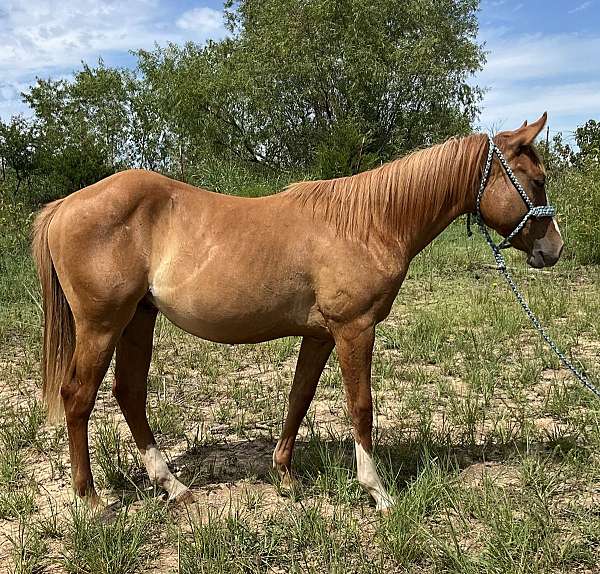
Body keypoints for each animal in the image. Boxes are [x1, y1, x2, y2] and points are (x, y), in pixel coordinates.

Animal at [32, 113, 564, 512]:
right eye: (537, 181)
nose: (554, 250)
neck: (369, 222)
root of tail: (64, 206)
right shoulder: (354, 330)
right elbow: (361, 407)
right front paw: (377, 491)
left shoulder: (322, 334)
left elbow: (299, 397)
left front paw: (286, 475)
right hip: (102, 326)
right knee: (78, 398)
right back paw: (90, 499)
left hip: (139, 319)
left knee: (129, 394)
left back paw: (174, 486)